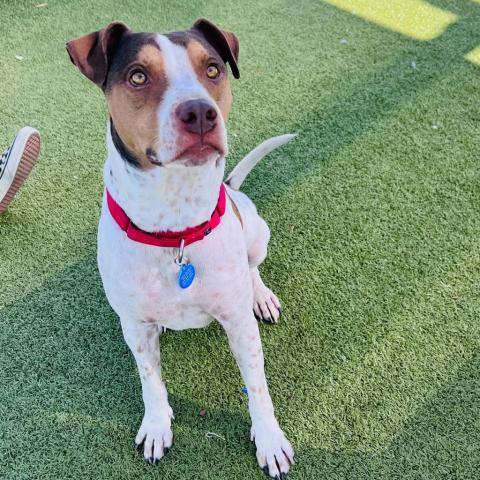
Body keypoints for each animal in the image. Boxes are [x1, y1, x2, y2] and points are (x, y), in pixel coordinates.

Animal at [65, 17, 294, 476]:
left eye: (212, 69)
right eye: (138, 76)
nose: (201, 113)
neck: (176, 230)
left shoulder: (238, 324)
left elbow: (257, 385)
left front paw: (270, 439)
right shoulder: (134, 327)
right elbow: (150, 380)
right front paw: (156, 426)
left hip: (257, 232)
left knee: (253, 266)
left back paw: (260, 295)